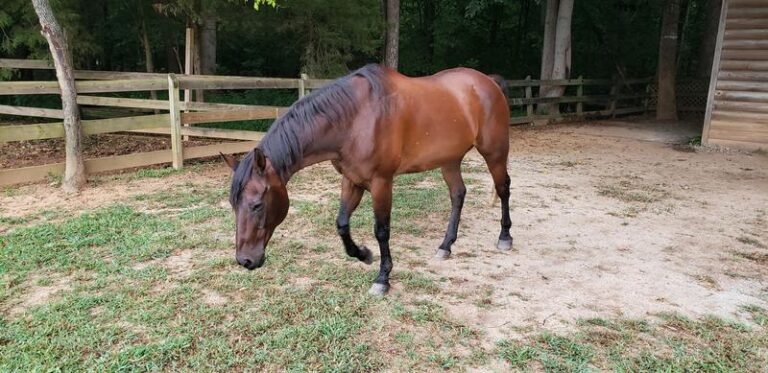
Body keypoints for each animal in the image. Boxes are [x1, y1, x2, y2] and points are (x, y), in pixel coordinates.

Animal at [219, 64, 512, 296]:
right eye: (233, 206)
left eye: (257, 205)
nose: (245, 260)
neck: (355, 119)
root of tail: (487, 81)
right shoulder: (352, 180)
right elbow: (341, 224)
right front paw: (363, 254)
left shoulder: (382, 182)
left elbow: (381, 230)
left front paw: (383, 278)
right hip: (449, 160)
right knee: (458, 194)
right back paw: (446, 246)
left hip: (494, 152)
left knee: (503, 188)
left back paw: (505, 237)